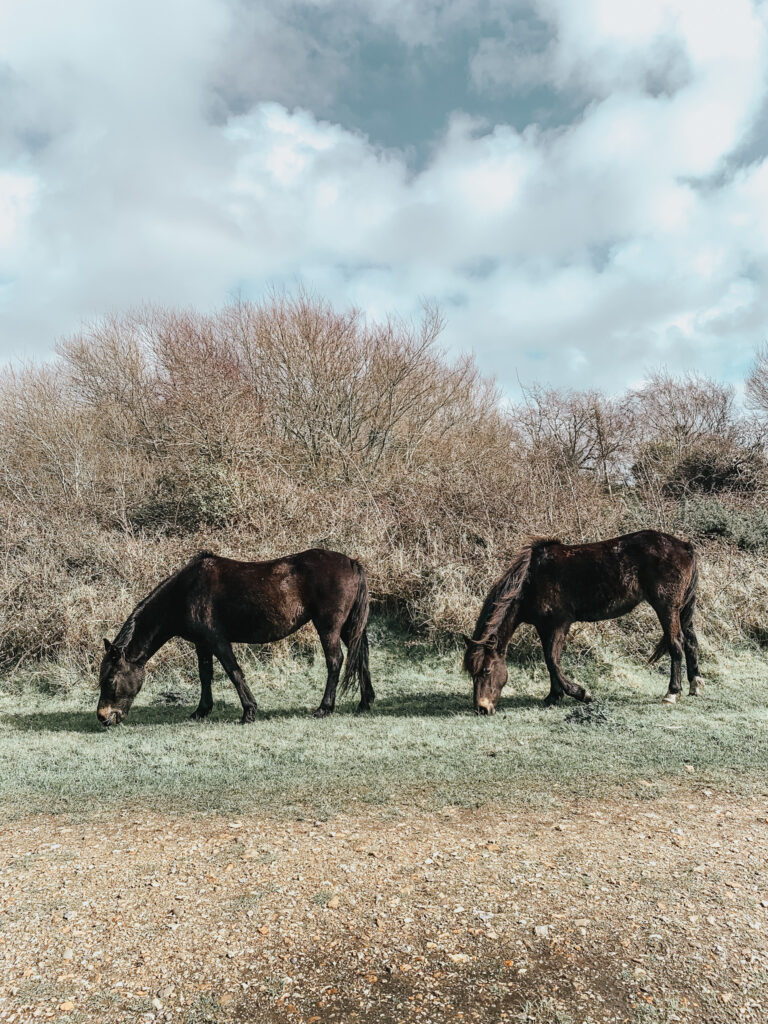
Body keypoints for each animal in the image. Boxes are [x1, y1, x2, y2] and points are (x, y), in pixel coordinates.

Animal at [97, 548, 373, 726]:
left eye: (110, 680)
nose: (103, 717)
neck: (185, 592)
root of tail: (351, 562)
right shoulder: (202, 644)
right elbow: (205, 675)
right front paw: (201, 710)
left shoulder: (218, 641)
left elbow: (234, 672)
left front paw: (249, 712)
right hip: (349, 628)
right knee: (361, 658)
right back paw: (365, 702)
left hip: (328, 627)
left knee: (335, 661)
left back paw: (324, 708)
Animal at [462, 530, 702, 714]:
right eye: (472, 673)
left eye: (486, 671)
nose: (482, 708)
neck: (532, 579)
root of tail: (684, 546)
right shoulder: (544, 626)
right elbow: (550, 661)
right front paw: (553, 696)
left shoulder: (559, 623)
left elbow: (553, 660)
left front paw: (582, 694)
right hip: (679, 610)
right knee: (690, 642)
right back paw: (695, 684)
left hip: (666, 608)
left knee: (676, 644)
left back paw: (672, 693)